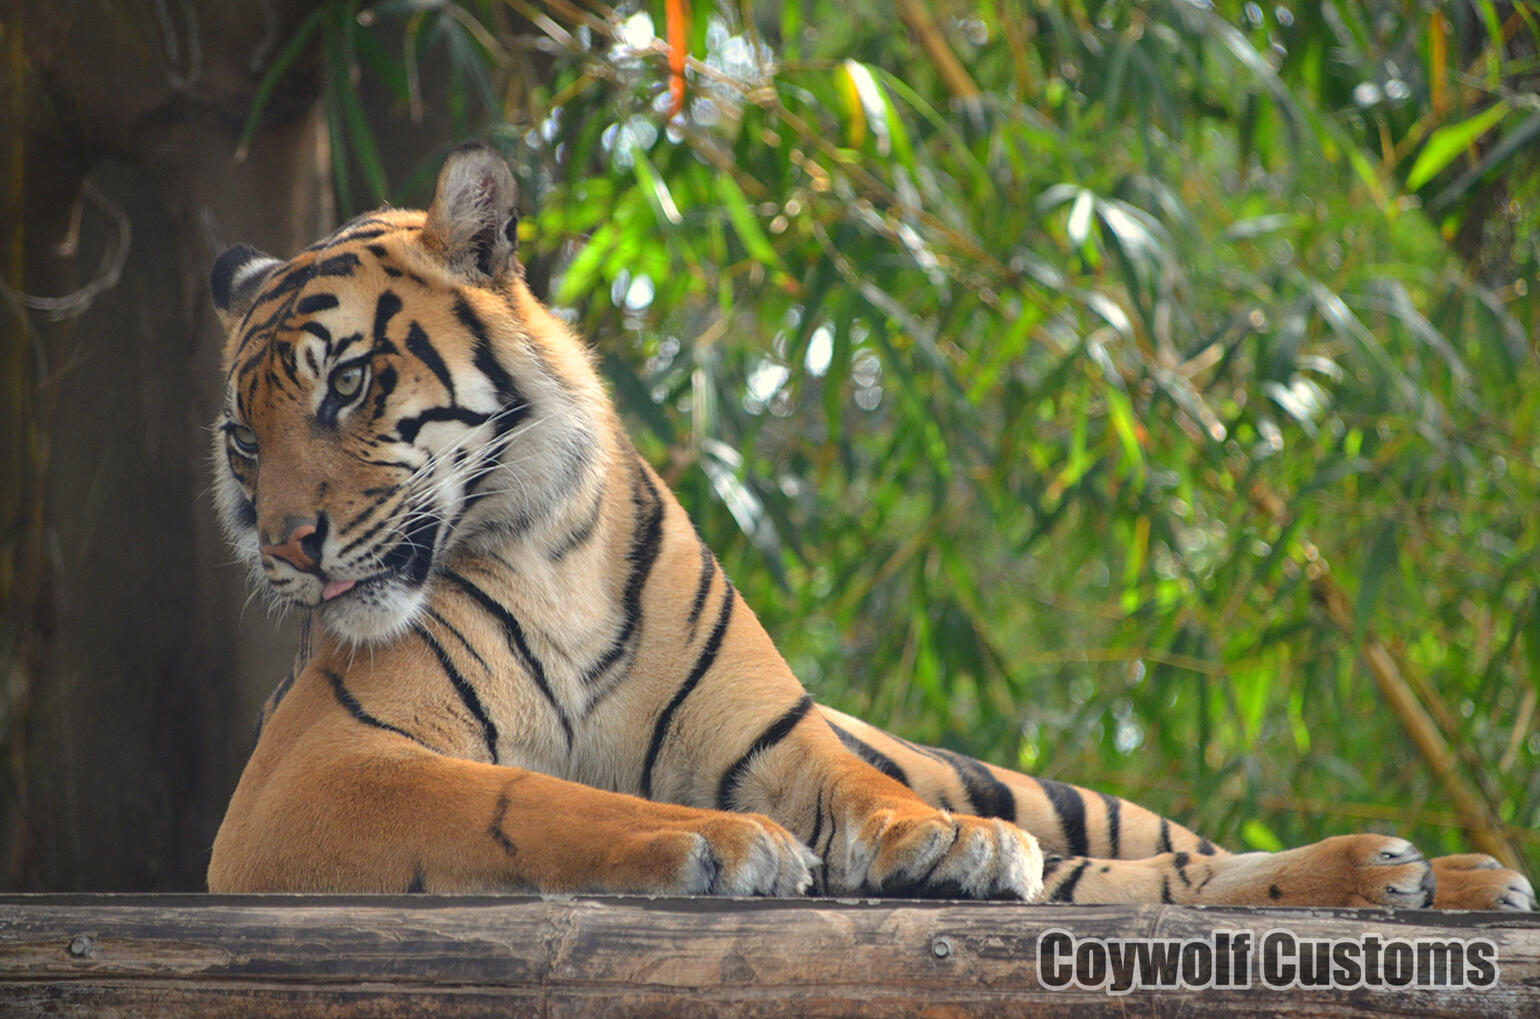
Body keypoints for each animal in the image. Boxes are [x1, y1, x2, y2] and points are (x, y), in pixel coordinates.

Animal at [205, 143, 1534, 911]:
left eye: (348, 384)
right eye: (243, 438)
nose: (281, 548)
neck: (546, 547)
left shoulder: (775, 729)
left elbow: (862, 783)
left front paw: (946, 841)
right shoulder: (314, 767)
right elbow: (528, 799)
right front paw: (724, 840)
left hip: (1045, 787)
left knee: (1173, 859)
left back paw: (1428, 869)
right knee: (1155, 882)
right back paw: (1410, 875)